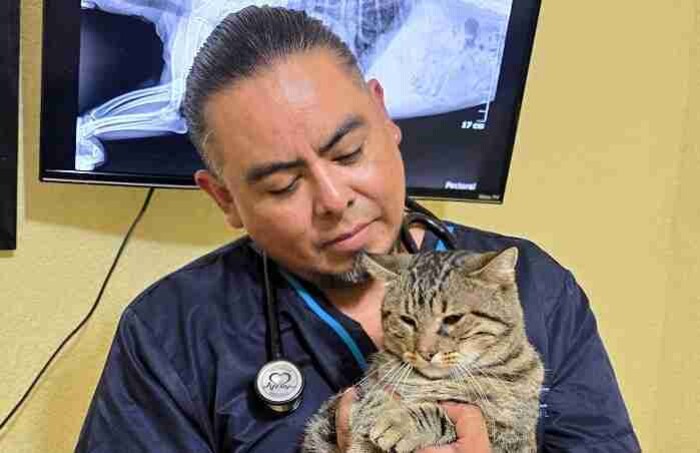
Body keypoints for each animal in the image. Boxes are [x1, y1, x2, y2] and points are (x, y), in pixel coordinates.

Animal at [304, 247, 544, 452]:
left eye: (453, 319)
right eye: (407, 320)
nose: (425, 352)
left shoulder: (508, 437)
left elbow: (442, 416)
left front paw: (400, 422)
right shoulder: (337, 408)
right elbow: (367, 397)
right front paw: (376, 406)